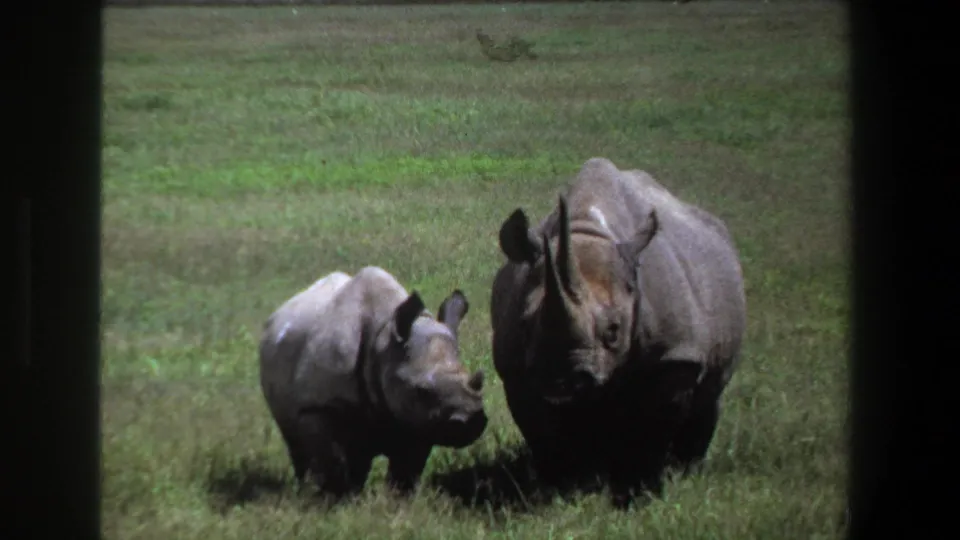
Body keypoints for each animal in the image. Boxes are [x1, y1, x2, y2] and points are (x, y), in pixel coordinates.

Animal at [259, 267, 488, 499]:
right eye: (422, 390)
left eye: (479, 381)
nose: (469, 419)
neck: (384, 341)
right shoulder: (318, 405)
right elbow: (330, 458)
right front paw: (334, 500)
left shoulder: (418, 418)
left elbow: (407, 467)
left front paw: (398, 500)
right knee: (297, 442)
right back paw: (310, 490)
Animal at [490, 157, 746, 508]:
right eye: (526, 324)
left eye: (613, 330)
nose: (563, 380)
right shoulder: (516, 370)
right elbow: (542, 432)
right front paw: (560, 490)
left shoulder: (674, 356)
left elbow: (653, 429)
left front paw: (640, 494)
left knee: (708, 397)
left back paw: (687, 471)